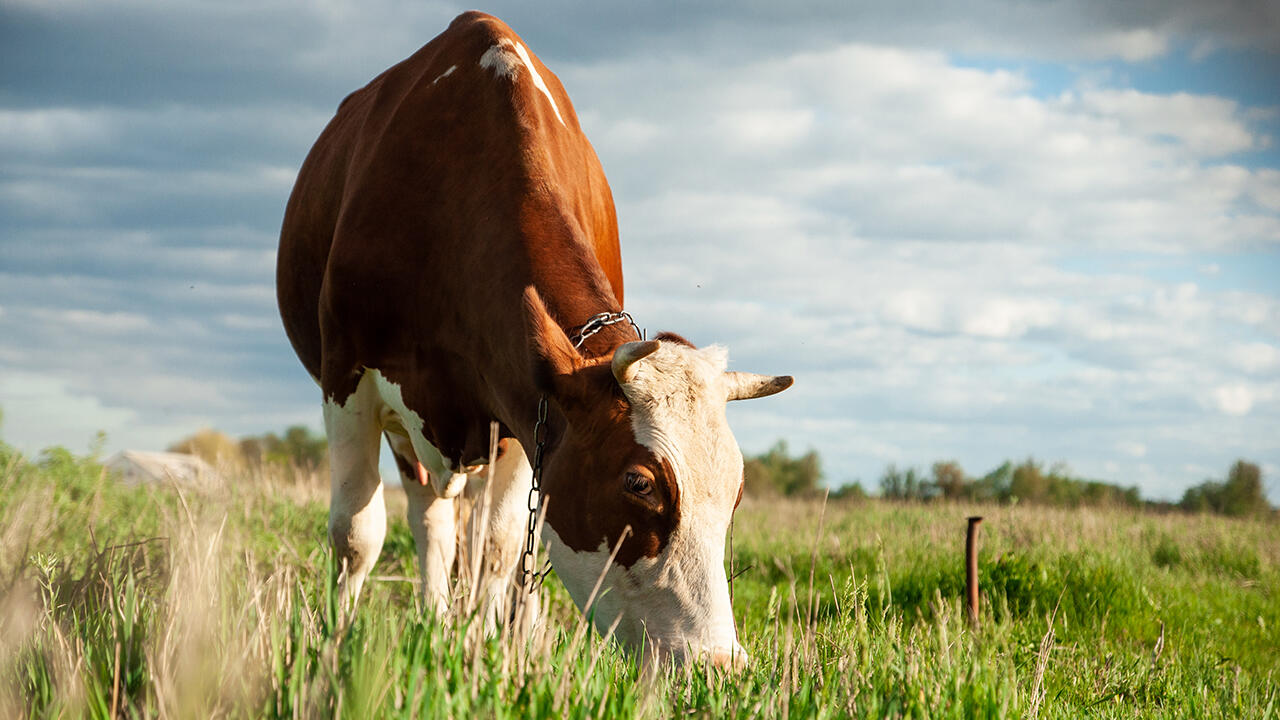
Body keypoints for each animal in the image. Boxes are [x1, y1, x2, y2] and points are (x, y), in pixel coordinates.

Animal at [277, 11, 788, 666]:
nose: (717, 664)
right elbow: (355, 536)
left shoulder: (524, 413)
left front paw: (481, 650)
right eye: (638, 482)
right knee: (429, 519)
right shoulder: (347, 377)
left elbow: (497, 549)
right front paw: (333, 653)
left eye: (737, 491)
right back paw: (432, 616)